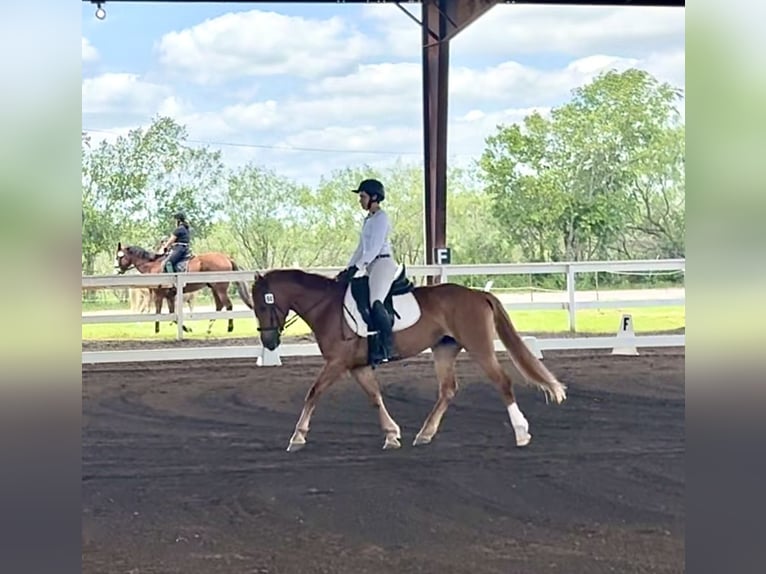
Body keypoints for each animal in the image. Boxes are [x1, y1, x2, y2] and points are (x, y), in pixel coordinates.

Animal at [115, 242, 253, 335]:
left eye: (119, 256)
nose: (117, 270)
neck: (153, 266)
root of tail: (227, 258)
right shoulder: (169, 296)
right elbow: (172, 313)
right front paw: (185, 328)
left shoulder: (159, 295)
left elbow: (159, 312)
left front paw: (157, 330)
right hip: (214, 289)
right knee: (219, 306)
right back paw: (209, 328)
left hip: (220, 289)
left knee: (228, 305)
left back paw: (229, 328)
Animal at [250, 267, 567, 452]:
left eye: (263, 304)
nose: (269, 343)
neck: (328, 306)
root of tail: (479, 294)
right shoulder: (357, 366)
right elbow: (375, 396)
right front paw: (392, 435)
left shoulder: (337, 363)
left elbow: (313, 393)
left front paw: (297, 437)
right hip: (443, 349)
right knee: (447, 389)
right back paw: (425, 434)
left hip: (478, 346)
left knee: (502, 381)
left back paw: (521, 433)